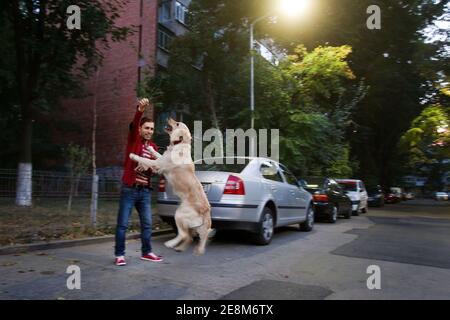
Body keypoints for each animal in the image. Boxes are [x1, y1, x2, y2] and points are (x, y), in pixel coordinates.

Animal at [130, 117, 214, 255]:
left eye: (177, 123)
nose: (169, 118)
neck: (179, 144)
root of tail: (206, 210)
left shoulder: (158, 164)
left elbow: (146, 160)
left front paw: (133, 156)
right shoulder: (161, 159)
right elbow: (157, 153)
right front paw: (150, 149)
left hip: (179, 214)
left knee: (184, 235)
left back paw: (170, 244)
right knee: (189, 237)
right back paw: (178, 247)